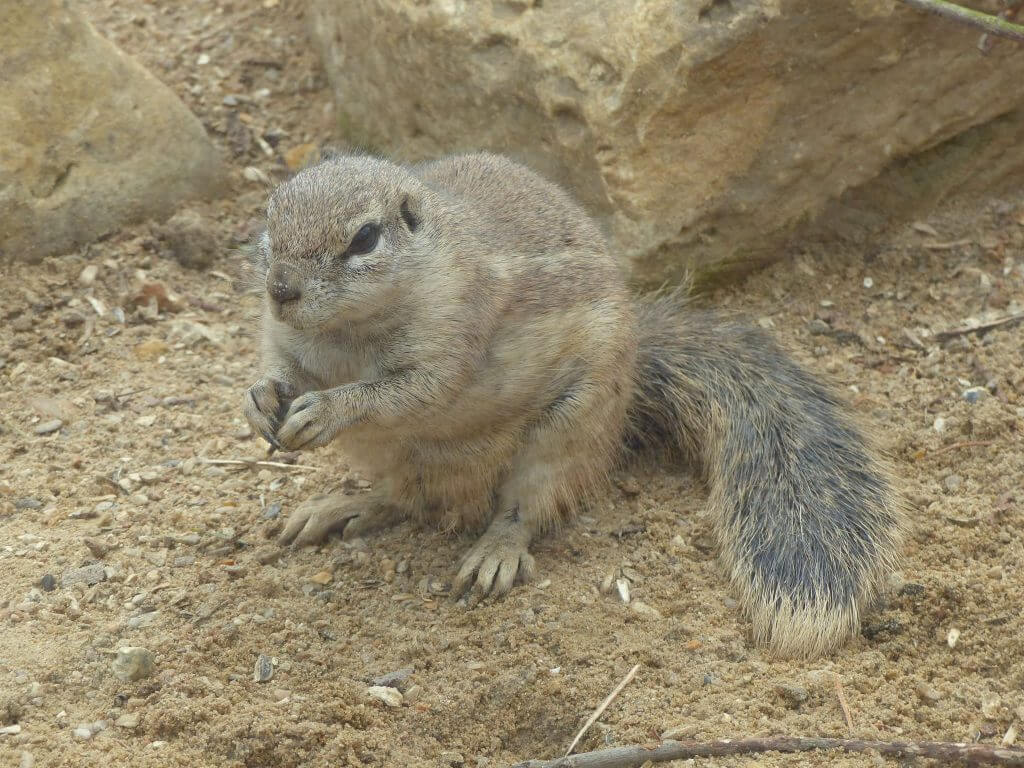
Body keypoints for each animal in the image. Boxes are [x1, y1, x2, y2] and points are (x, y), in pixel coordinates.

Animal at [243, 151, 901, 663]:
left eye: (364, 239)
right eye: (269, 222)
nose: (280, 290)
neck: (347, 337)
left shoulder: (452, 342)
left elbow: (405, 393)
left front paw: (328, 408)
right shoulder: (285, 340)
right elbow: (278, 366)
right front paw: (259, 400)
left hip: (563, 434)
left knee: (521, 509)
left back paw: (495, 552)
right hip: (398, 458)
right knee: (403, 497)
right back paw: (340, 506)